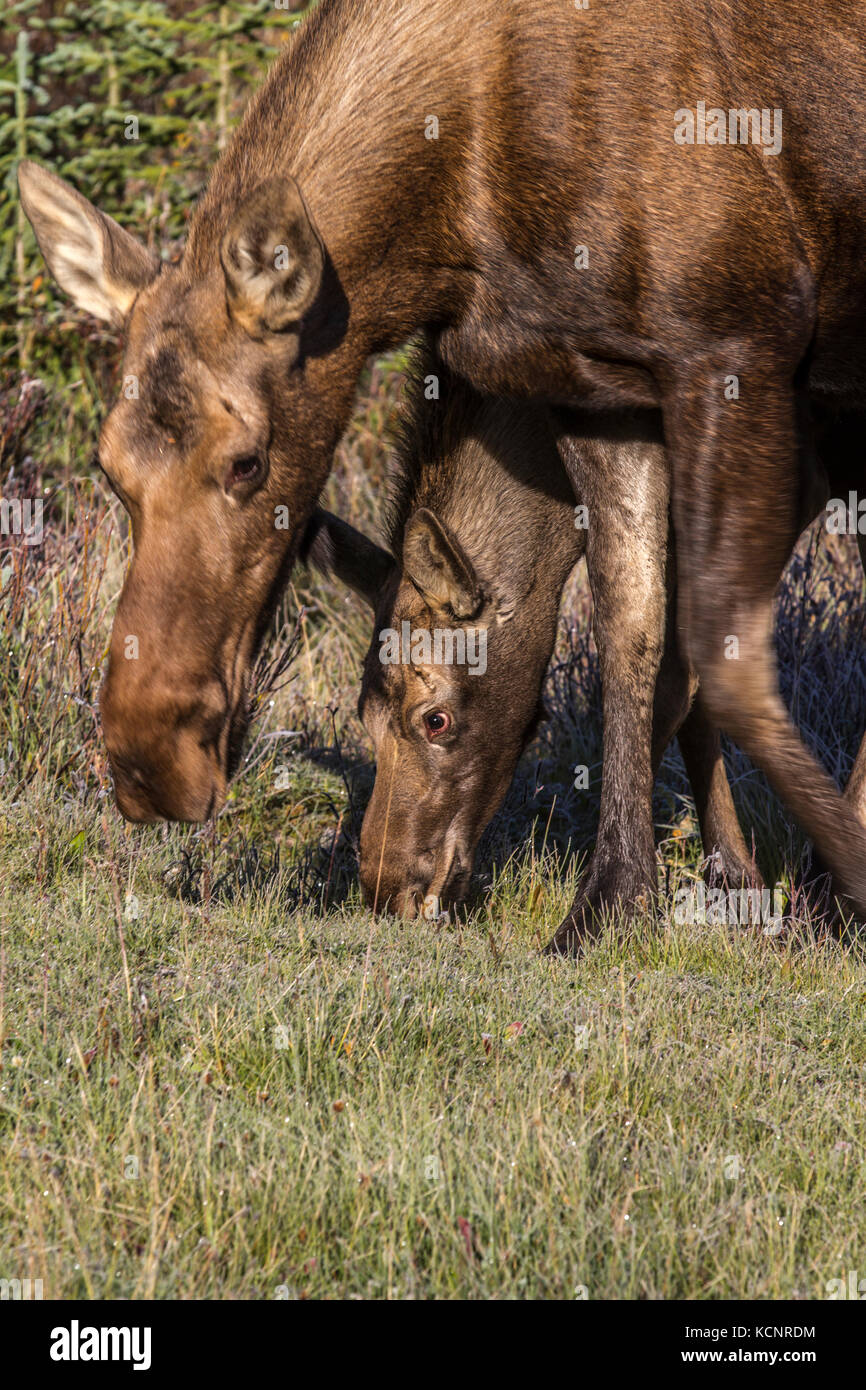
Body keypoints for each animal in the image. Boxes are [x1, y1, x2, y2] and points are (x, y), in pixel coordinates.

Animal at [18, 0, 866, 939]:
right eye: (108, 467)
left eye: (247, 462)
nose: (148, 763)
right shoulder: (601, 389)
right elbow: (640, 634)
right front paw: (621, 897)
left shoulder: (739, 349)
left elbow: (725, 656)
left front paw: (817, 884)